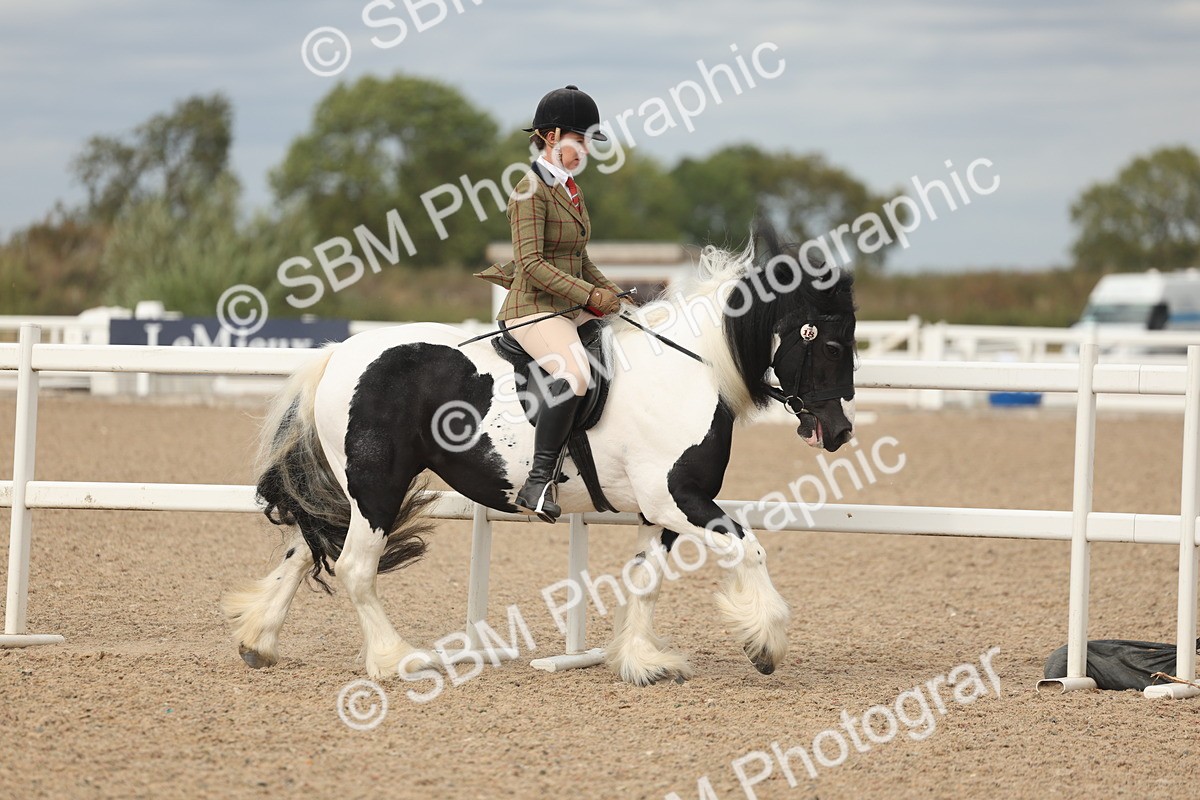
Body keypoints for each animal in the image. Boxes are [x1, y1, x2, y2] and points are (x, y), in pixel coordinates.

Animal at [222, 229, 857, 686]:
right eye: (825, 340)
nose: (839, 432)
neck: (687, 369)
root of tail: (339, 353)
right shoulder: (678, 498)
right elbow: (750, 548)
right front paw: (765, 643)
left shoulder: (661, 511)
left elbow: (645, 580)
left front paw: (641, 661)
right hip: (378, 484)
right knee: (355, 566)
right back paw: (398, 660)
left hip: (355, 488)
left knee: (304, 547)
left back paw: (259, 641)